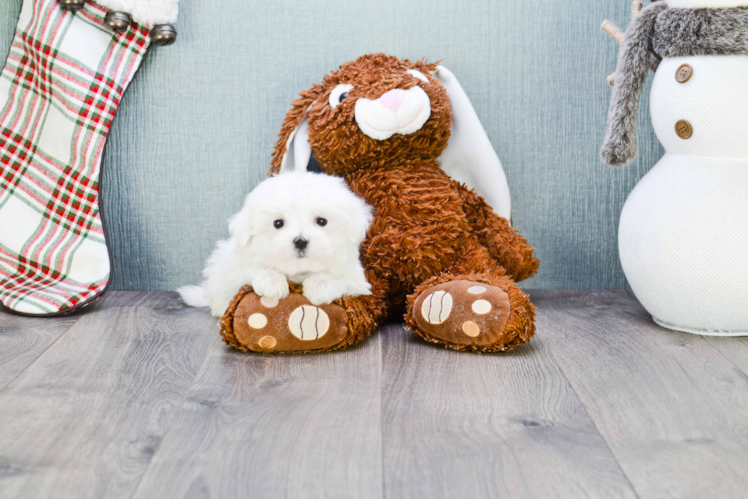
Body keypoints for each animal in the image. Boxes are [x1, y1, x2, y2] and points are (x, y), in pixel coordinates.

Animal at [176, 172, 374, 316]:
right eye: (278, 223)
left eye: (322, 221)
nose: (300, 240)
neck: (298, 272)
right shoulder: (233, 271)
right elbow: (253, 268)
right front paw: (272, 283)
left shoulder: (356, 279)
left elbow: (336, 276)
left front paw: (320, 286)